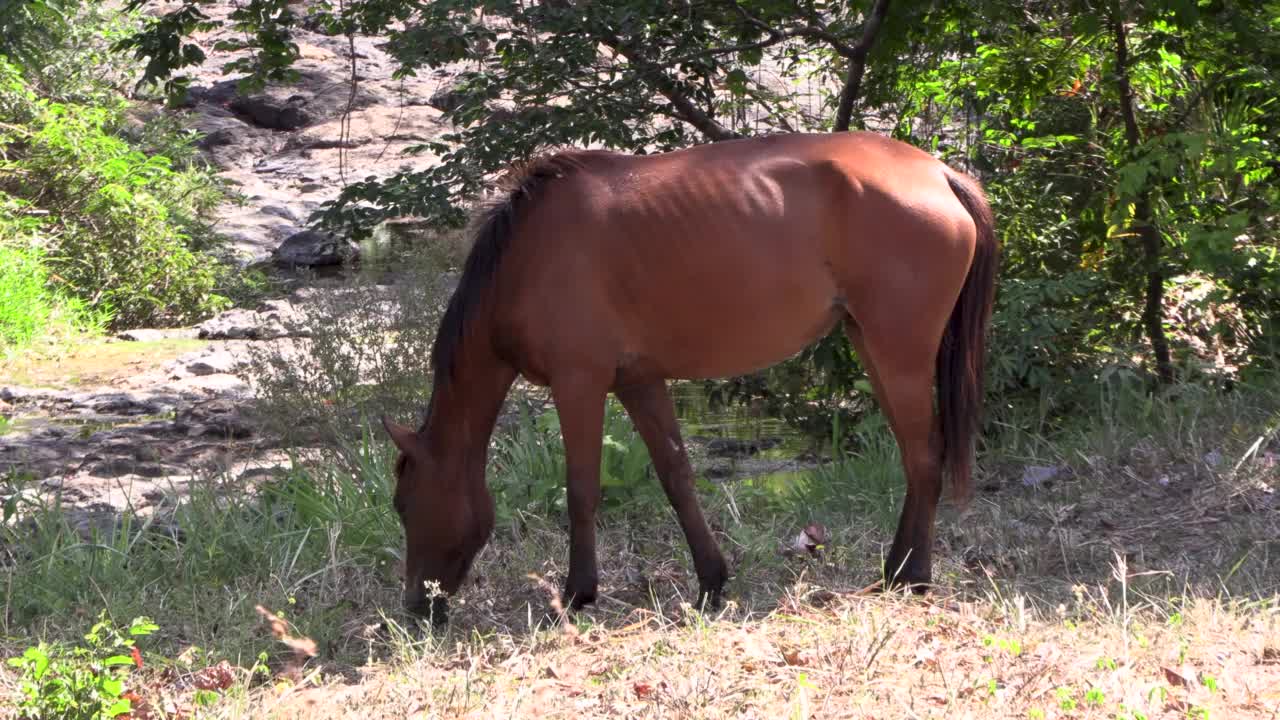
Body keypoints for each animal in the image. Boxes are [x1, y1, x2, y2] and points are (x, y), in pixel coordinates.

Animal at [378, 130, 998, 622]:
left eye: (404, 504)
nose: (416, 605)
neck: (528, 255)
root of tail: (939, 173)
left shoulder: (579, 383)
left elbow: (581, 489)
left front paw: (578, 593)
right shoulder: (639, 381)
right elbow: (677, 477)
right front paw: (711, 580)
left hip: (899, 353)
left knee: (924, 458)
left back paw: (915, 577)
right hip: (872, 345)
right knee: (916, 458)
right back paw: (894, 569)